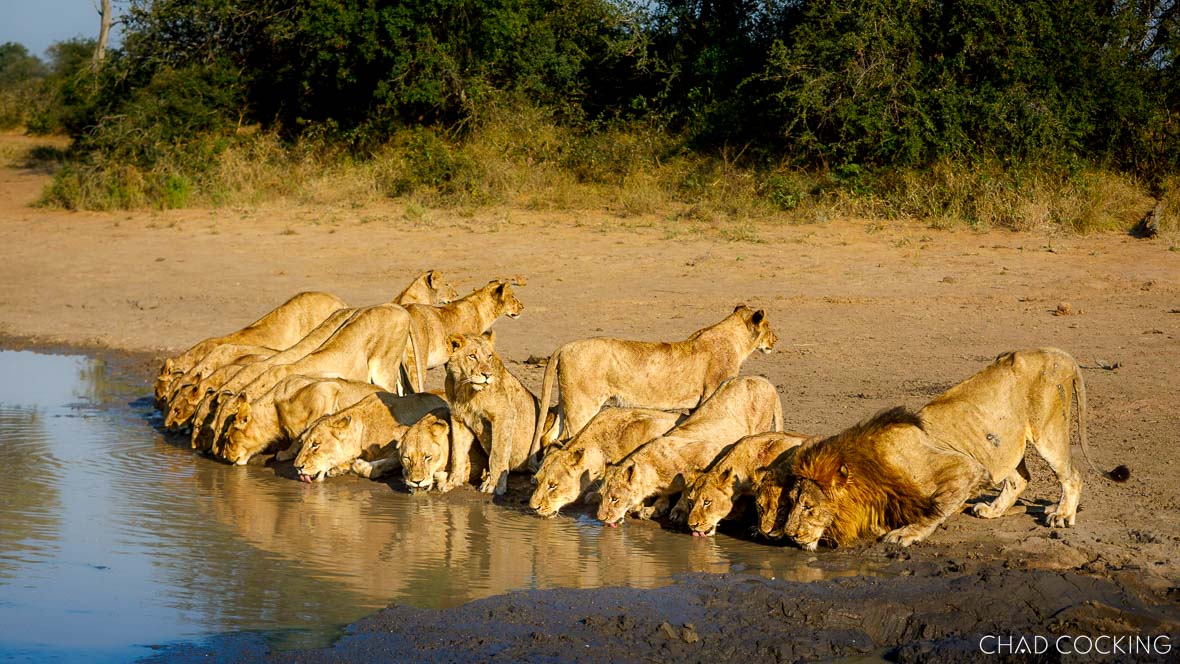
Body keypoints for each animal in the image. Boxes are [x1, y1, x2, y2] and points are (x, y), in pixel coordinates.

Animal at [293, 391, 447, 482]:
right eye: (302, 442)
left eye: (315, 444)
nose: (297, 467)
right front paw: (339, 468)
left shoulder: (403, 446)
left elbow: (377, 467)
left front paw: (357, 466)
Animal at [445, 331, 561, 495]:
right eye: (472, 356)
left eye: (489, 356)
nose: (487, 375)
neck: (465, 389)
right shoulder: (459, 419)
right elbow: (457, 453)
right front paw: (452, 482)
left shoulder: (503, 415)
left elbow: (497, 453)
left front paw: (494, 485)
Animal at [532, 305, 777, 458]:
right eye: (769, 327)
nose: (776, 340)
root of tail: (563, 347)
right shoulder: (712, 392)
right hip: (583, 405)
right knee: (568, 439)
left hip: (568, 402)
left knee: (548, 436)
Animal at [596, 375, 783, 527]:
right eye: (601, 495)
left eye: (615, 498)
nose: (600, 518)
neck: (653, 472)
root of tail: (764, 381)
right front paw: (656, 507)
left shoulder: (709, 453)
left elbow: (688, 488)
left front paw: (679, 511)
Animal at [780, 348, 1130, 551]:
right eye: (792, 502)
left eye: (809, 507)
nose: (789, 535)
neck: (870, 470)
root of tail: (1059, 353)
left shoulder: (965, 468)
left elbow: (934, 508)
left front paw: (906, 534)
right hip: (1006, 441)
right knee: (1019, 479)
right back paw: (993, 510)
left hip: (1048, 429)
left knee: (1072, 475)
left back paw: (1062, 515)